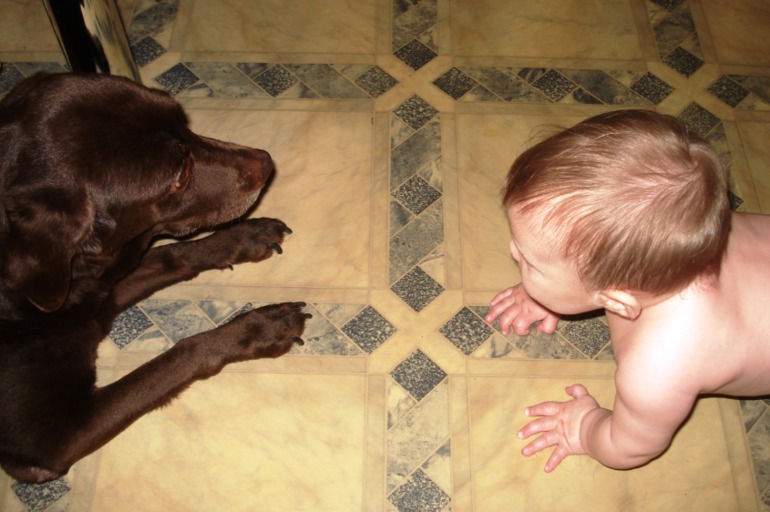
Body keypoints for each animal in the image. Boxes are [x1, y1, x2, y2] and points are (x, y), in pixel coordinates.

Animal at [0, 72, 310, 484]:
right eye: (180, 177)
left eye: (184, 122)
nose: (267, 161)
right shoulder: (52, 439)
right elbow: (181, 351)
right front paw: (260, 327)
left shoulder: (93, 300)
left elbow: (169, 256)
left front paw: (242, 237)